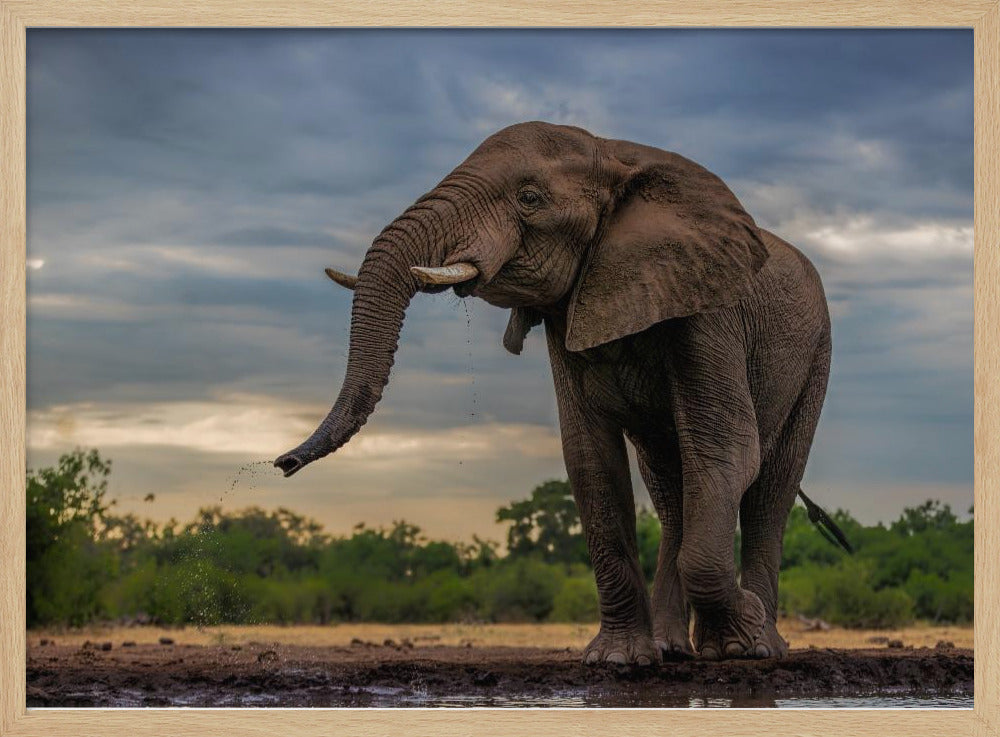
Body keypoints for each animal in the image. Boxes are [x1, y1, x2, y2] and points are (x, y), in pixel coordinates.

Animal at [275, 121, 832, 666]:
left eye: (529, 197)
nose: (282, 463)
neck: (614, 153)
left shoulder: (708, 309)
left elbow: (727, 449)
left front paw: (745, 632)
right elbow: (590, 459)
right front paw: (617, 660)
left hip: (817, 358)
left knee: (769, 490)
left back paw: (760, 647)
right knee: (670, 487)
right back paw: (674, 649)